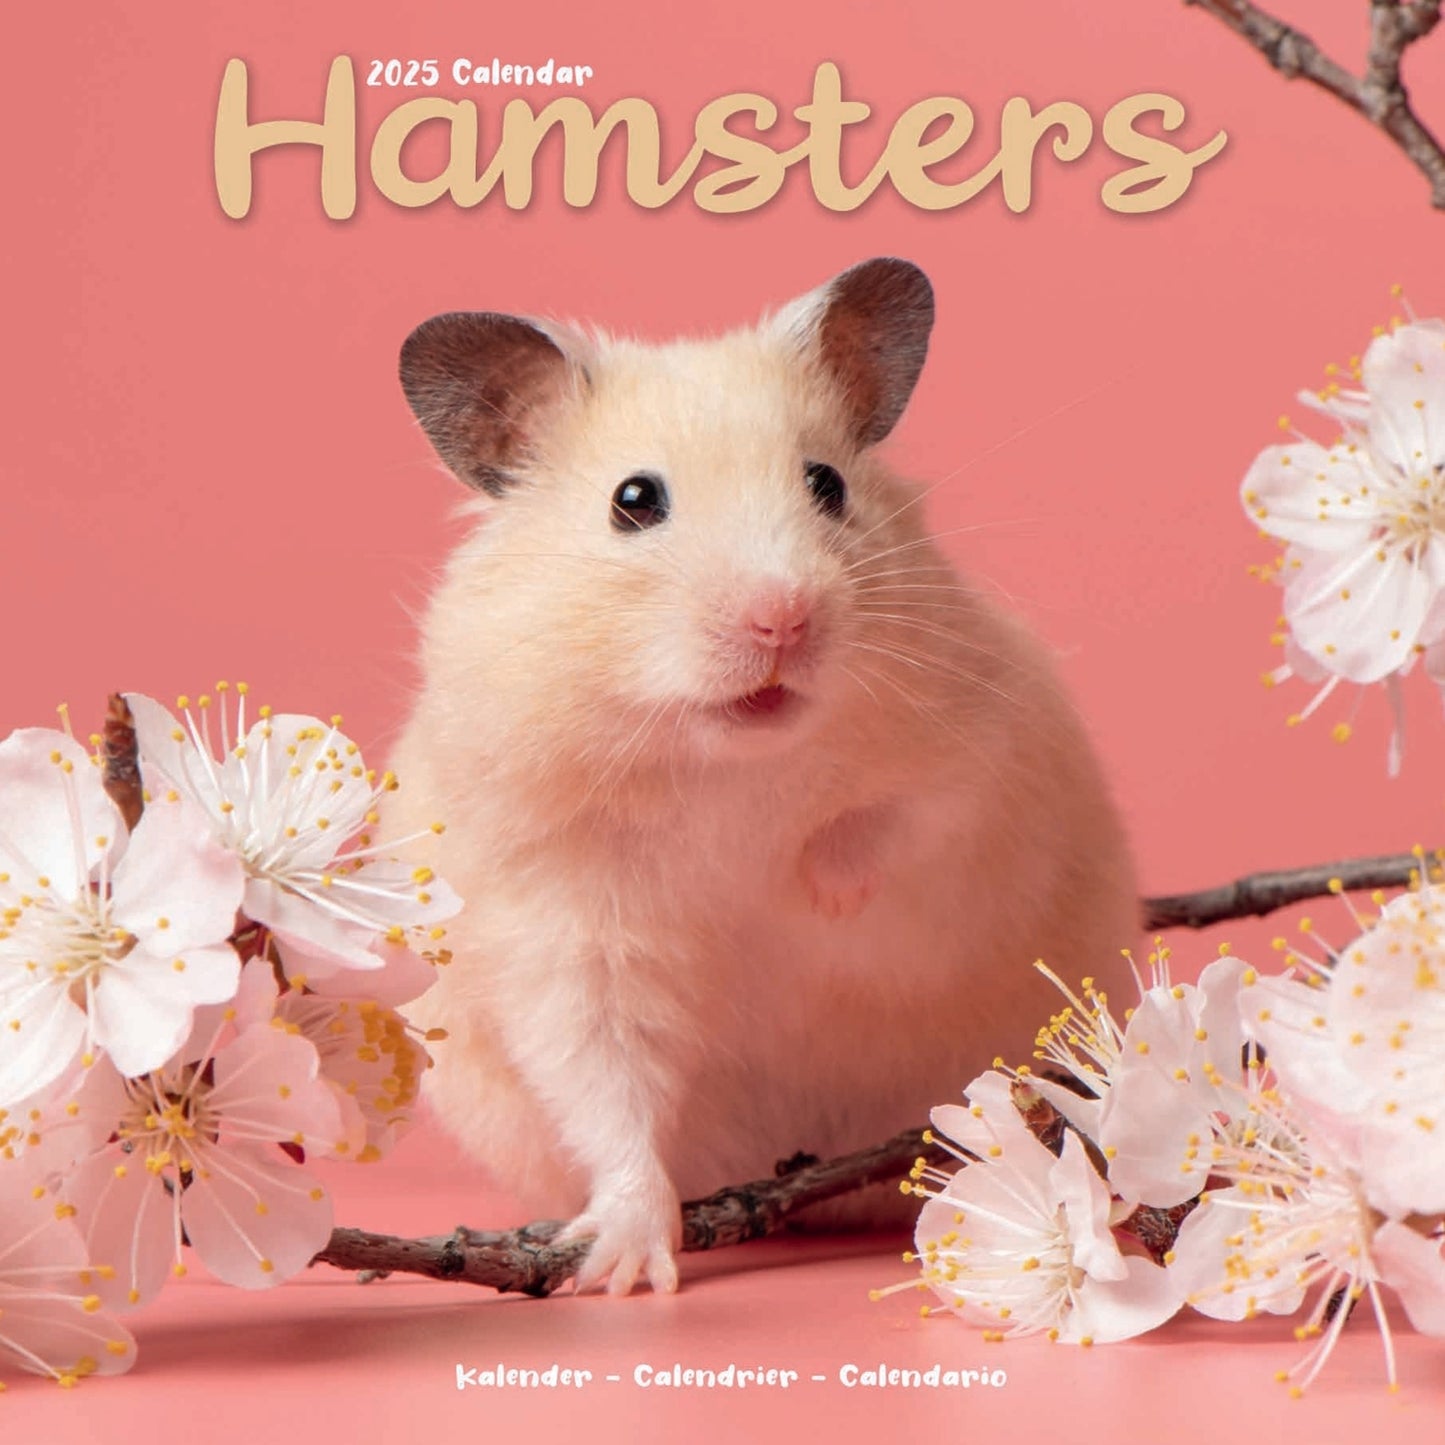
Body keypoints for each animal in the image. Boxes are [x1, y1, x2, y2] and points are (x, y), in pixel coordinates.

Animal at [385, 258, 1137, 1296]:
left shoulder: (986, 755)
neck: (729, 766)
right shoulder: (565, 926)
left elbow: (895, 822)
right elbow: (606, 1088)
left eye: (826, 482)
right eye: (633, 499)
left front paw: (818, 895)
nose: (782, 617)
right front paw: (620, 1268)